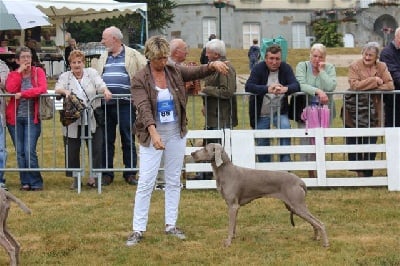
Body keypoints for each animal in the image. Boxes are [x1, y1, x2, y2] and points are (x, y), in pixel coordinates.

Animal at [191, 143, 328, 247]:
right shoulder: (234, 207)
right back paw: (315, 237)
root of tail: (300, 181)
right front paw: (233, 238)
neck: (225, 171)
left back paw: (325, 243)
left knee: (320, 223)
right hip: (294, 206)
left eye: (205, 148)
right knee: (313, 222)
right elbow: (233, 225)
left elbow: (230, 226)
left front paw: (228, 242)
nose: (192, 153)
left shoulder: (232, 206)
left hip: (297, 205)